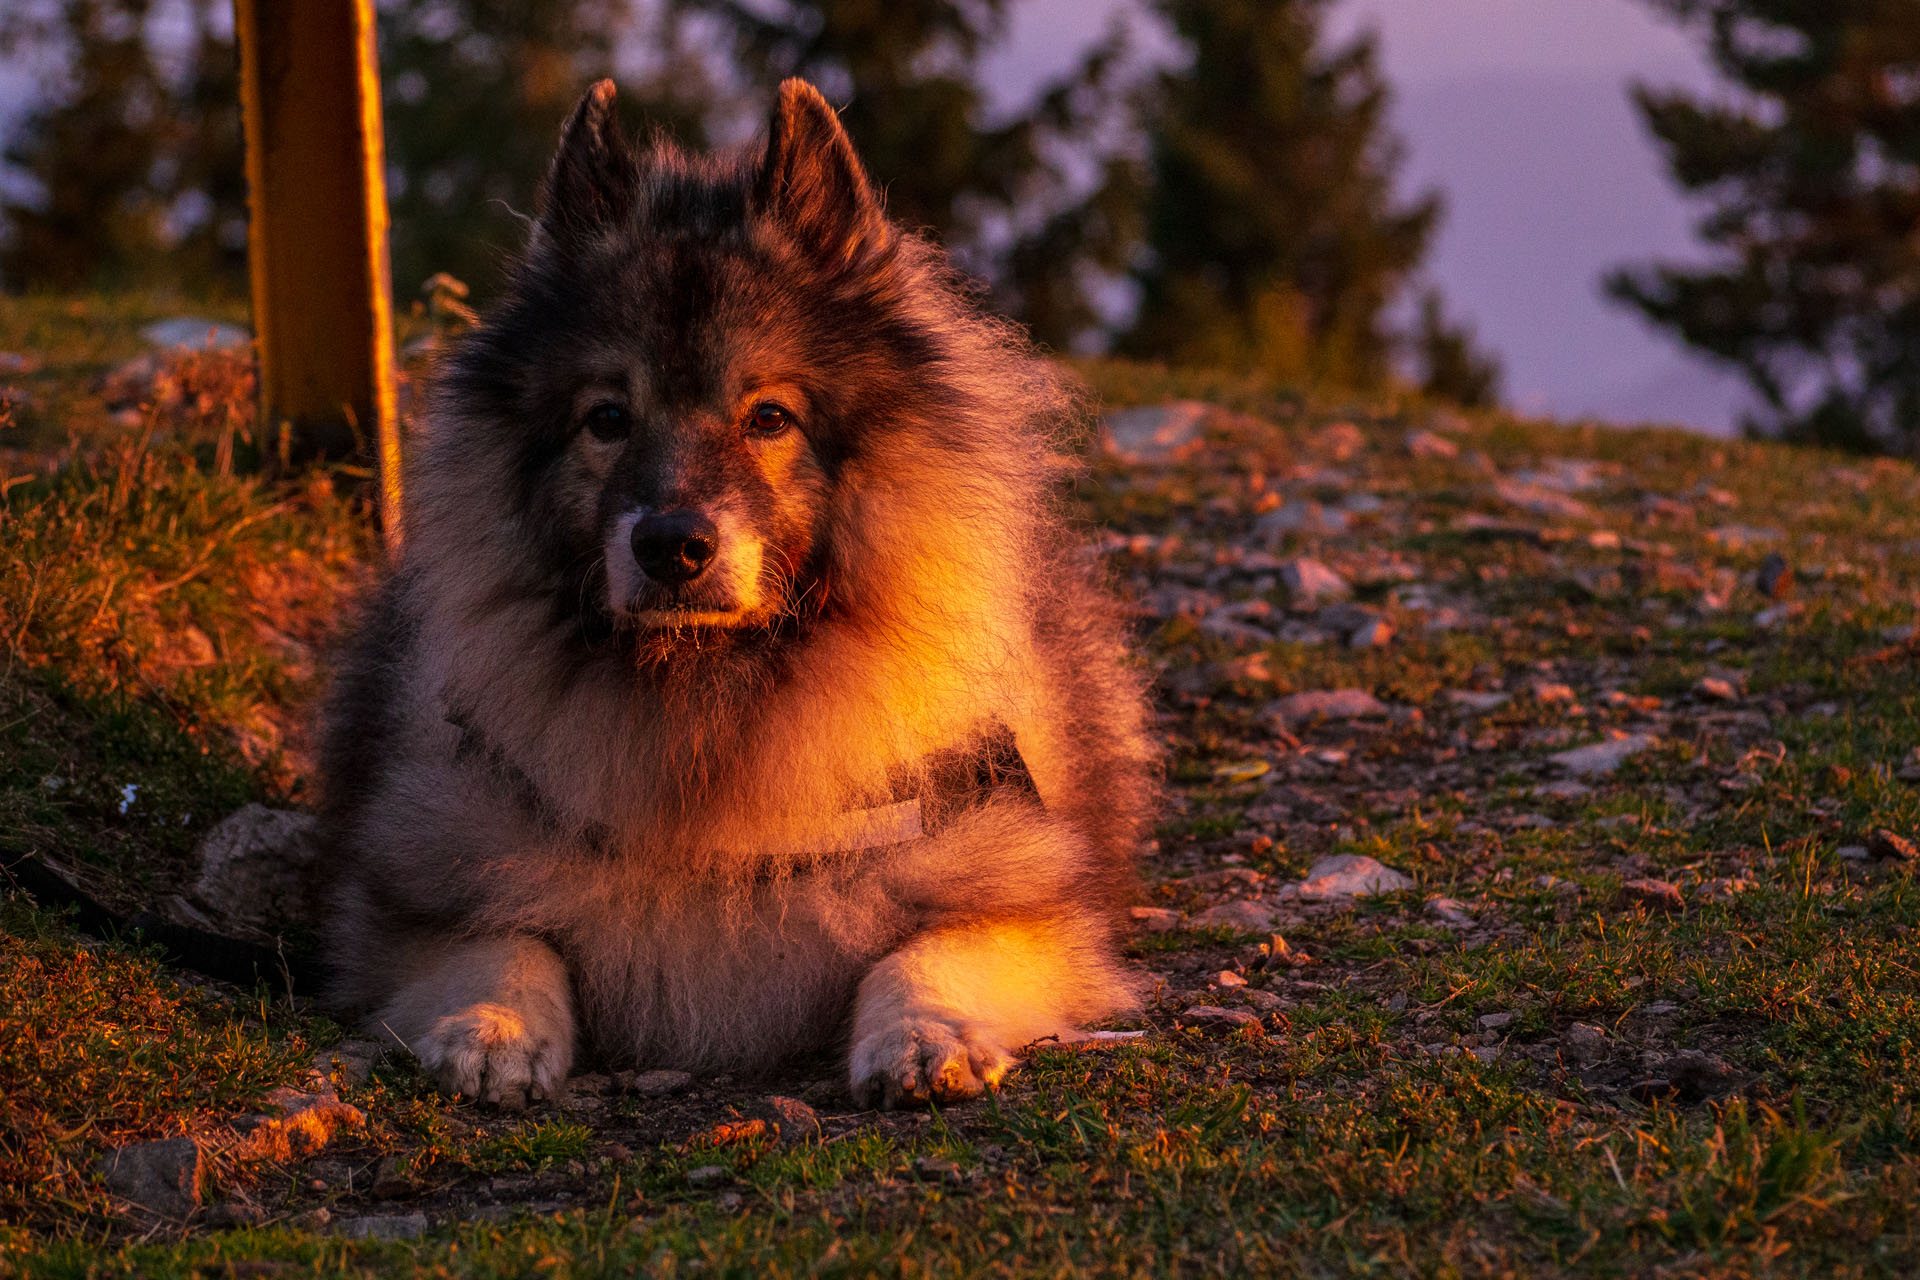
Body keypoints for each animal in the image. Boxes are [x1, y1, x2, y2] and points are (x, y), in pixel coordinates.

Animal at [318, 75, 1152, 1105]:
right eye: (607, 418)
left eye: (769, 417)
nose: (672, 545)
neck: (705, 703)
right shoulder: (410, 898)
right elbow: (503, 939)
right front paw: (490, 1026)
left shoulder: (1020, 893)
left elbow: (926, 954)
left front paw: (926, 1039)